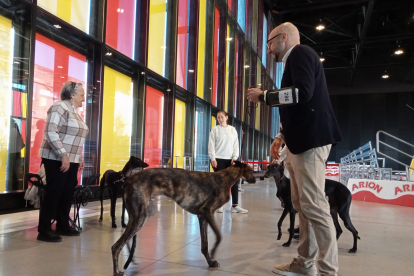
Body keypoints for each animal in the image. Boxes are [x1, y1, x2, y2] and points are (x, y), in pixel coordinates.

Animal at [111, 162, 256, 276]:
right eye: (251, 170)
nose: (255, 180)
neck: (225, 177)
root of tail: (128, 180)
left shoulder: (202, 216)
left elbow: (204, 245)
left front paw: (210, 262)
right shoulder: (208, 211)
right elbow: (219, 236)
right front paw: (214, 253)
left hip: (143, 214)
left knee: (126, 240)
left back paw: (130, 260)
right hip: (140, 217)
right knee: (116, 246)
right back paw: (117, 271)